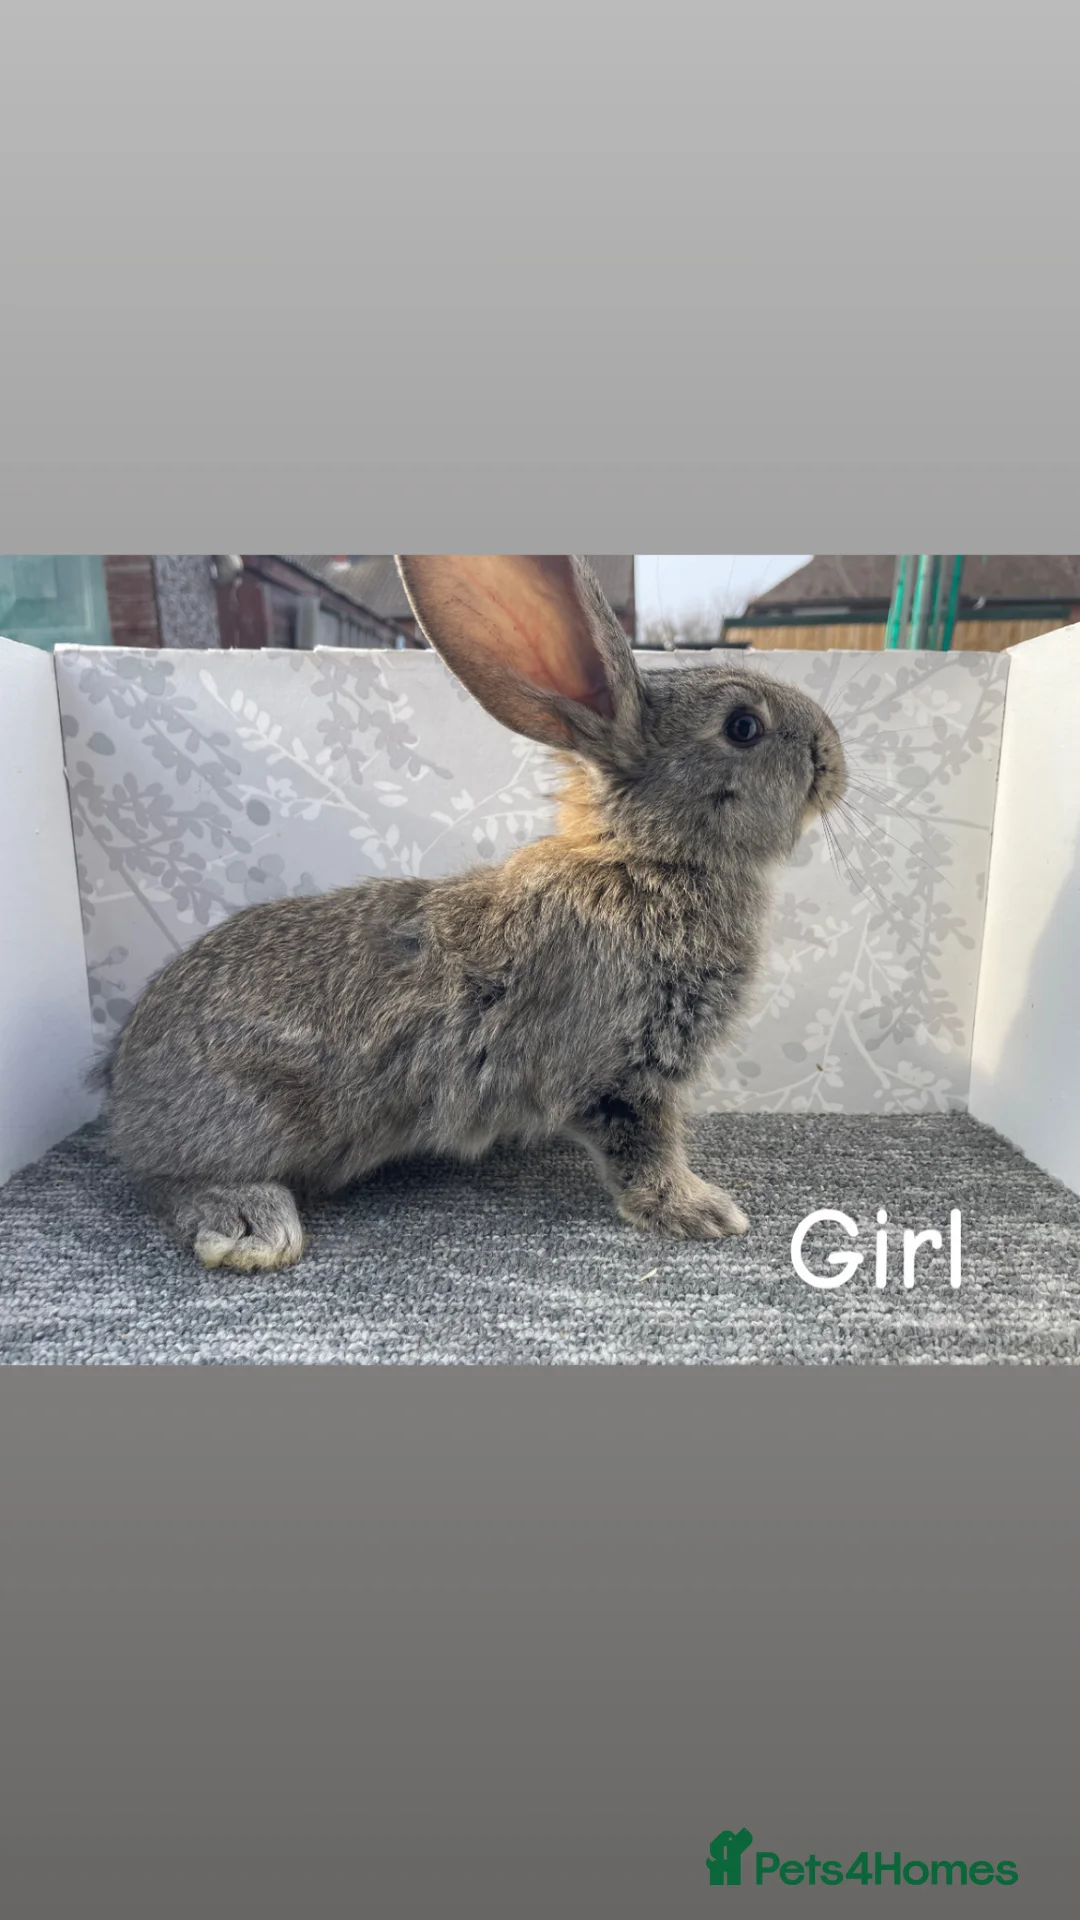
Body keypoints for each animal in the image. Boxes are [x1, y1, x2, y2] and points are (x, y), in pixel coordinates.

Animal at [94, 555, 847, 1271]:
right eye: (743, 727)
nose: (834, 756)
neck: (649, 857)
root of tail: (121, 1087)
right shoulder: (620, 1070)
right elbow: (643, 1149)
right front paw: (702, 1211)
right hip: (249, 1120)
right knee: (169, 1183)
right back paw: (253, 1226)